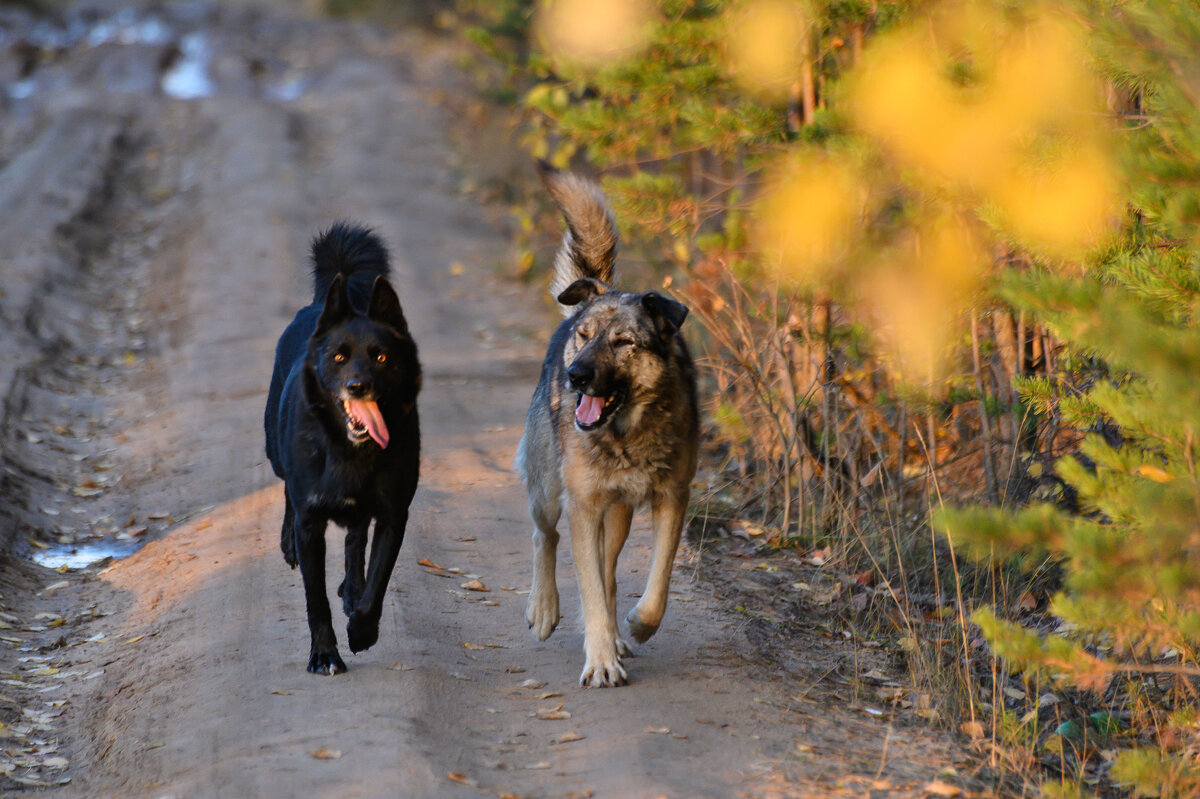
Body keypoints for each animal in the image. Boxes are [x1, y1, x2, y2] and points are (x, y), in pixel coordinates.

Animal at [265, 221, 420, 671]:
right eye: (338, 357)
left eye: (382, 357)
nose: (358, 386)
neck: (350, 451)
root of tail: (320, 305)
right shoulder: (311, 522)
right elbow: (315, 599)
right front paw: (324, 655)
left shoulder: (393, 515)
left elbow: (377, 583)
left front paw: (362, 629)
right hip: (275, 451)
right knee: (286, 489)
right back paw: (287, 544)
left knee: (355, 538)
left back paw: (352, 588)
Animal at [518, 163, 700, 686]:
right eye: (585, 336)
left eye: (623, 342)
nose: (576, 375)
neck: (627, 432)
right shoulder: (583, 506)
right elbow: (591, 590)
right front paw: (600, 660)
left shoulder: (672, 498)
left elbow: (656, 584)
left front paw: (636, 627)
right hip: (550, 492)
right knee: (545, 537)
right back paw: (544, 608)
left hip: (617, 517)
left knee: (610, 569)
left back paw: (618, 635)